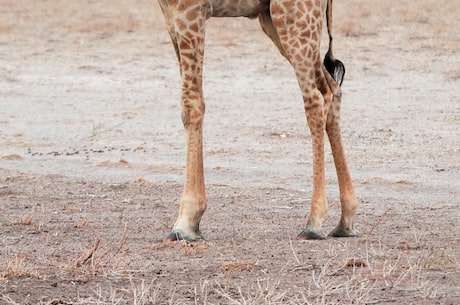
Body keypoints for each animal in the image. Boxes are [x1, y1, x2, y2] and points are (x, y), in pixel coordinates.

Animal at [160, 0, 362, 240]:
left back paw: (314, 223)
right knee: (332, 89)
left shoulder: (190, 10)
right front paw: (193, 222)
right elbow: (192, 104)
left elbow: (192, 105)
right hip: (272, 20)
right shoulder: (171, 14)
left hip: (293, 17)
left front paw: (184, 222)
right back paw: (345, 220)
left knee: (315, 98)